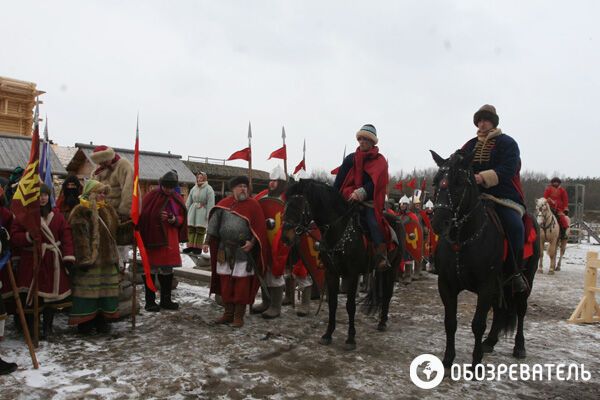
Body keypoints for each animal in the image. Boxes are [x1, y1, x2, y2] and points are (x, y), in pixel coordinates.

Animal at [282, 179, 404, 350]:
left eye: (299, 205)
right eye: (286, 204)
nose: (285, 237)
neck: (338, 230)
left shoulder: (352, 275)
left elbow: (350, 305)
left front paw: (351, 338)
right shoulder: (331, 273)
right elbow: (333, 303)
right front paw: (328, 334)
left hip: (393, 267)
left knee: (387, 293)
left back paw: (382, 322)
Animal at [428, 149, 540, 368]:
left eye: (459, 182)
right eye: (436, 181)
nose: (438, 223)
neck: (462, 240)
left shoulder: (486, 285)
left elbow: (478, 324)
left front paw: (475, 364)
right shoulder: (446, 284)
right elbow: (450, 322)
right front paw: (448, 359)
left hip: (526, 280)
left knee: (521, 310)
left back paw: (519, 347)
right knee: (499, 310)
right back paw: (490, 341)